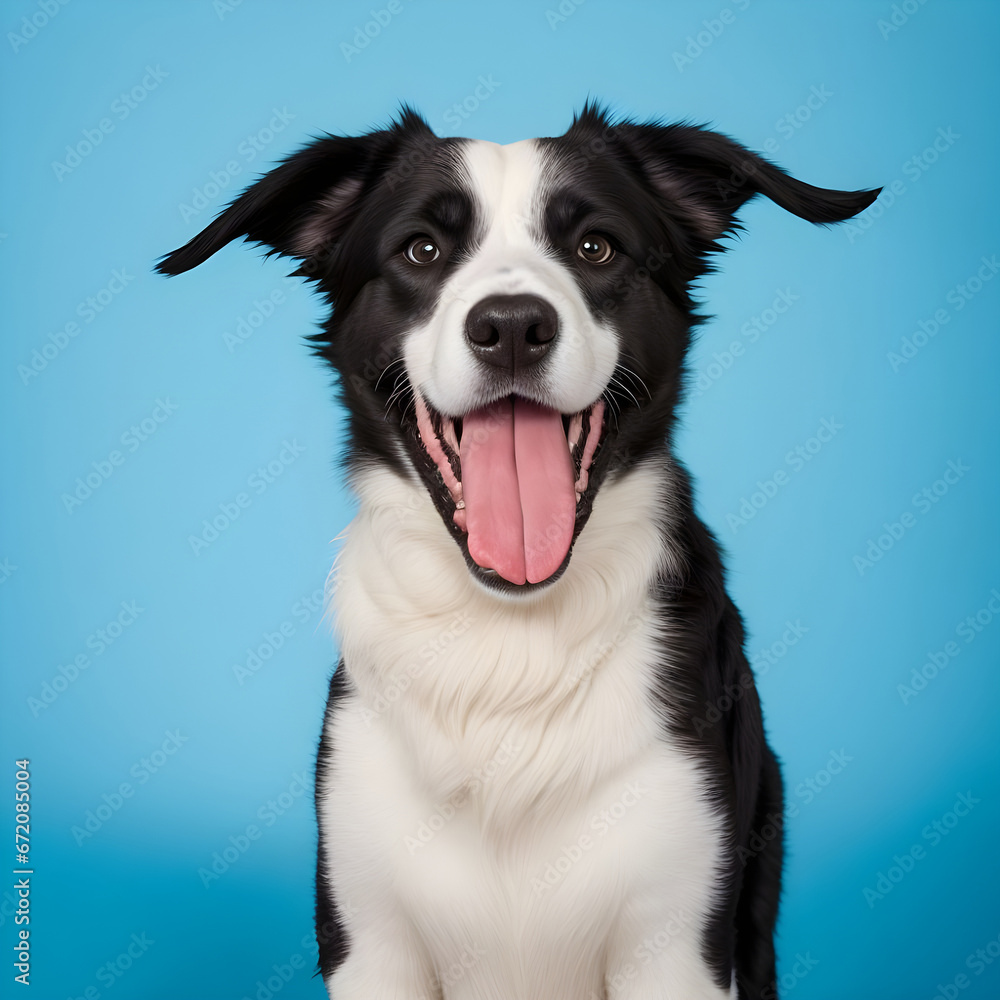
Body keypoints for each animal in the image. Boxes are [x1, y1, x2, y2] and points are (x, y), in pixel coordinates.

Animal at [160, 103, 880, 1000]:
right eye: (421, 250)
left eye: (596, 247)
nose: (510, 326)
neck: (508, 642)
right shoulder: (370, 937)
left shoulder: (674, 943)